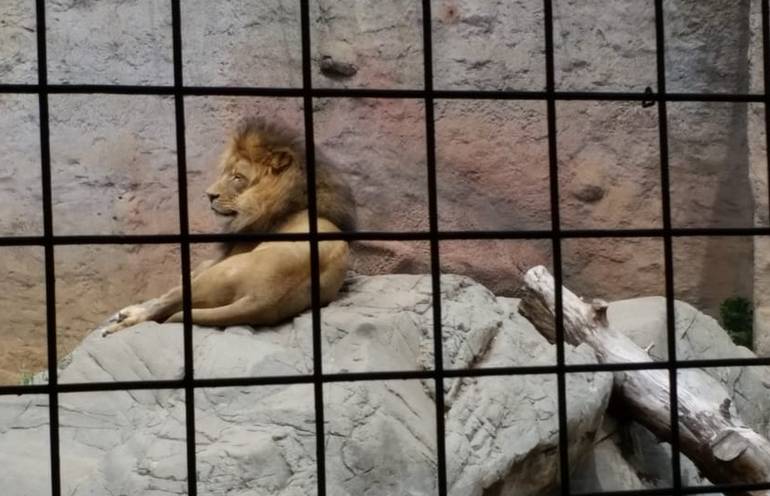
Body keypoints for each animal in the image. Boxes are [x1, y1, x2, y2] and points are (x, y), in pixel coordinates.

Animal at [97, 117, 356, 338]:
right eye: (226, 172)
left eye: (237, 177)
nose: (209, 195)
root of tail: (263, 297)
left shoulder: (220, 258)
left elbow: (175, 286)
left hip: (217, 274)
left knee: (168, 302)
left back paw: (128, 320)